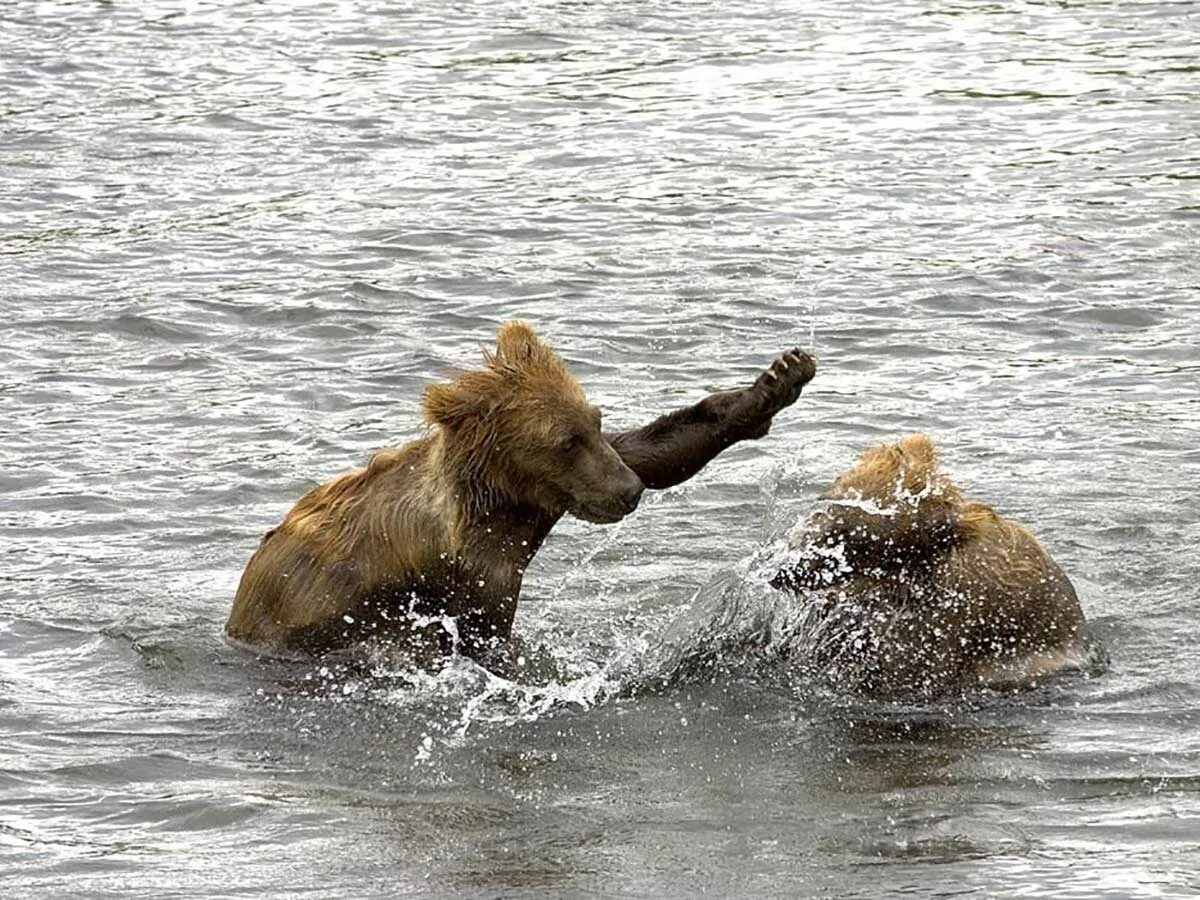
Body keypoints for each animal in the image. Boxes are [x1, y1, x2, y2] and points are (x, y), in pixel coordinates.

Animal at [226, 324, 816, 662]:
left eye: (595, 422)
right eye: (564, 440)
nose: (628, 492)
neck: (502, 498)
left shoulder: (554, 498)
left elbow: (655, 450)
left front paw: (776, 380)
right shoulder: (470, 569)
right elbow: (484, 637)